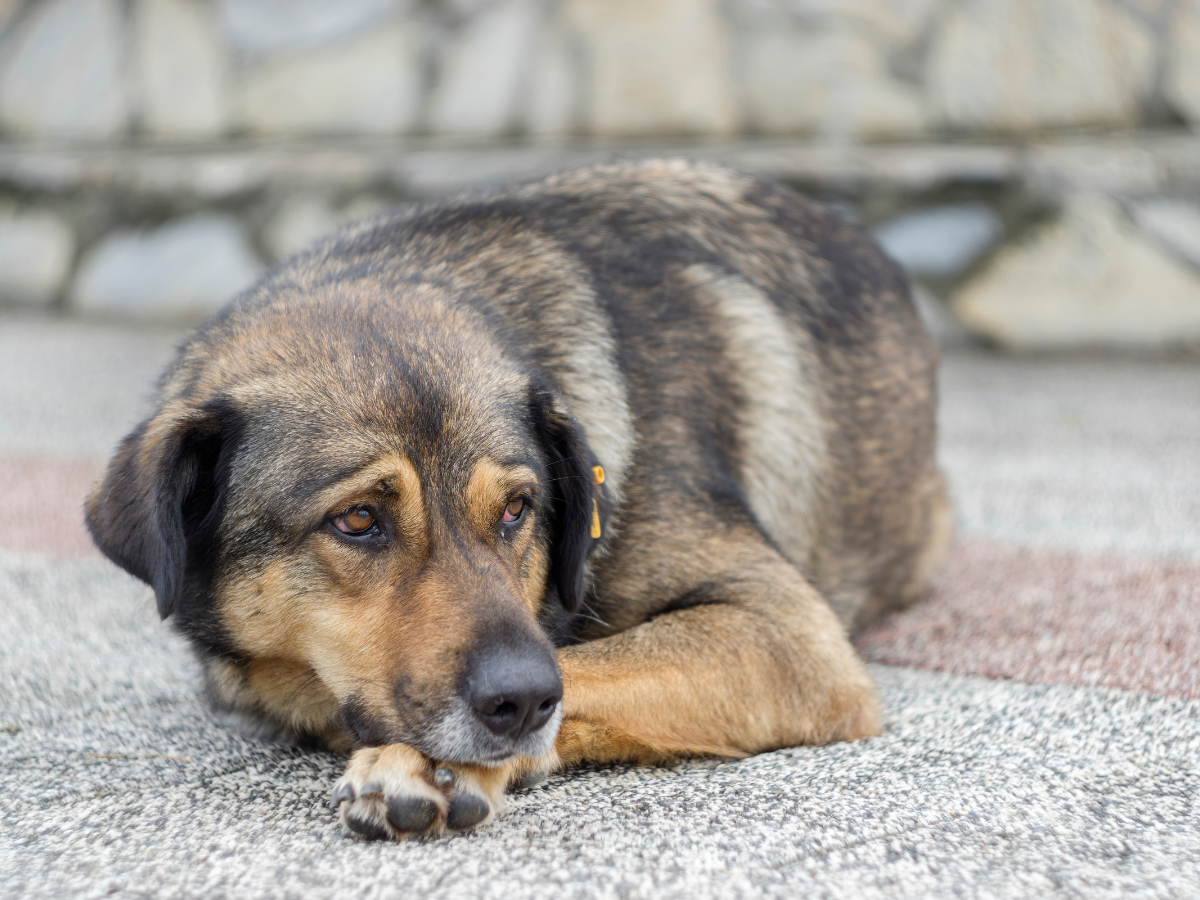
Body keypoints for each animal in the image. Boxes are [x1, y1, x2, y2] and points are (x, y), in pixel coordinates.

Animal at [84, 158, 950, 844]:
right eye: (357, 520)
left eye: (516, 511)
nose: (525, 699)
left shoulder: (788, 631)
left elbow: (589, 663)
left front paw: (433, 767)